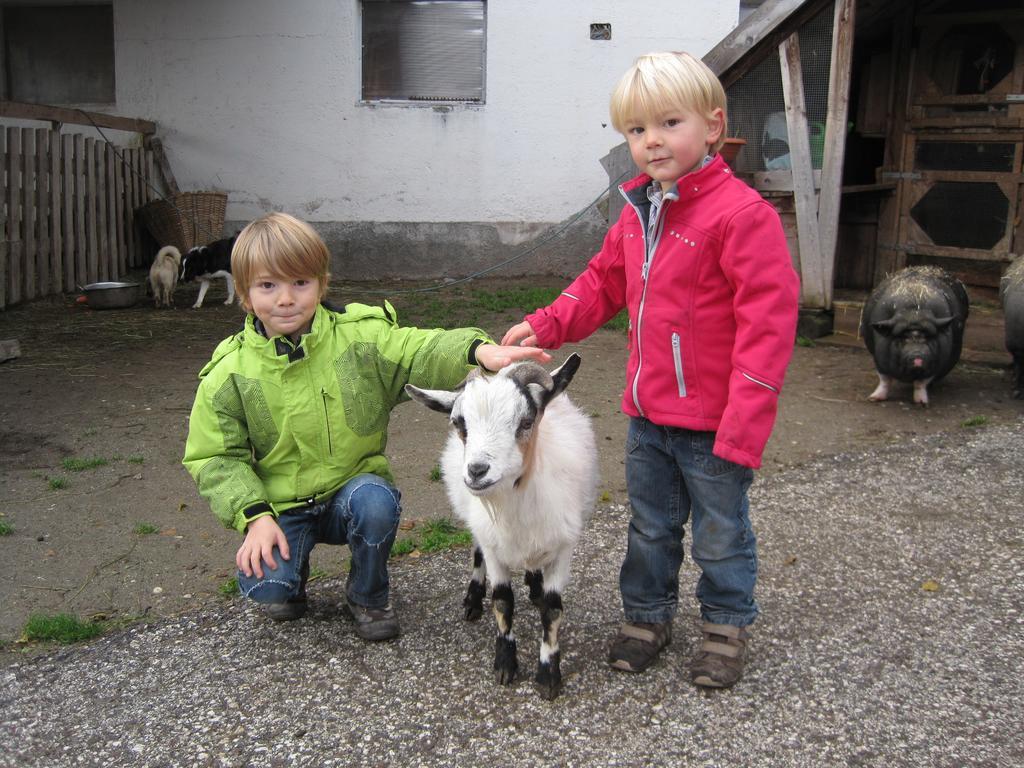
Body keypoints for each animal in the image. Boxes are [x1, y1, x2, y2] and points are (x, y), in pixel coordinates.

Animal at [405, 356, 598, 704]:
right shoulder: (494, 547)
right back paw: (472, 599)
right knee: (477, 553)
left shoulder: (563, 547)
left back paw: (534, 585)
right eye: (459, 423)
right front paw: (505, 664)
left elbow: (553, 610)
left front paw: (548, 674)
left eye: (526, 421)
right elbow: (502, 601)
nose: (477, 471)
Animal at [864, 266, 966, 409]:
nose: (918, 356)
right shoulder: (879, 357)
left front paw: (922, 403)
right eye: (903, 338)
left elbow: (920, 383)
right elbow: (885, 380)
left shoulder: (936, 363)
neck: (914, 314)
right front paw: (873, 398)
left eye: (927, 338)